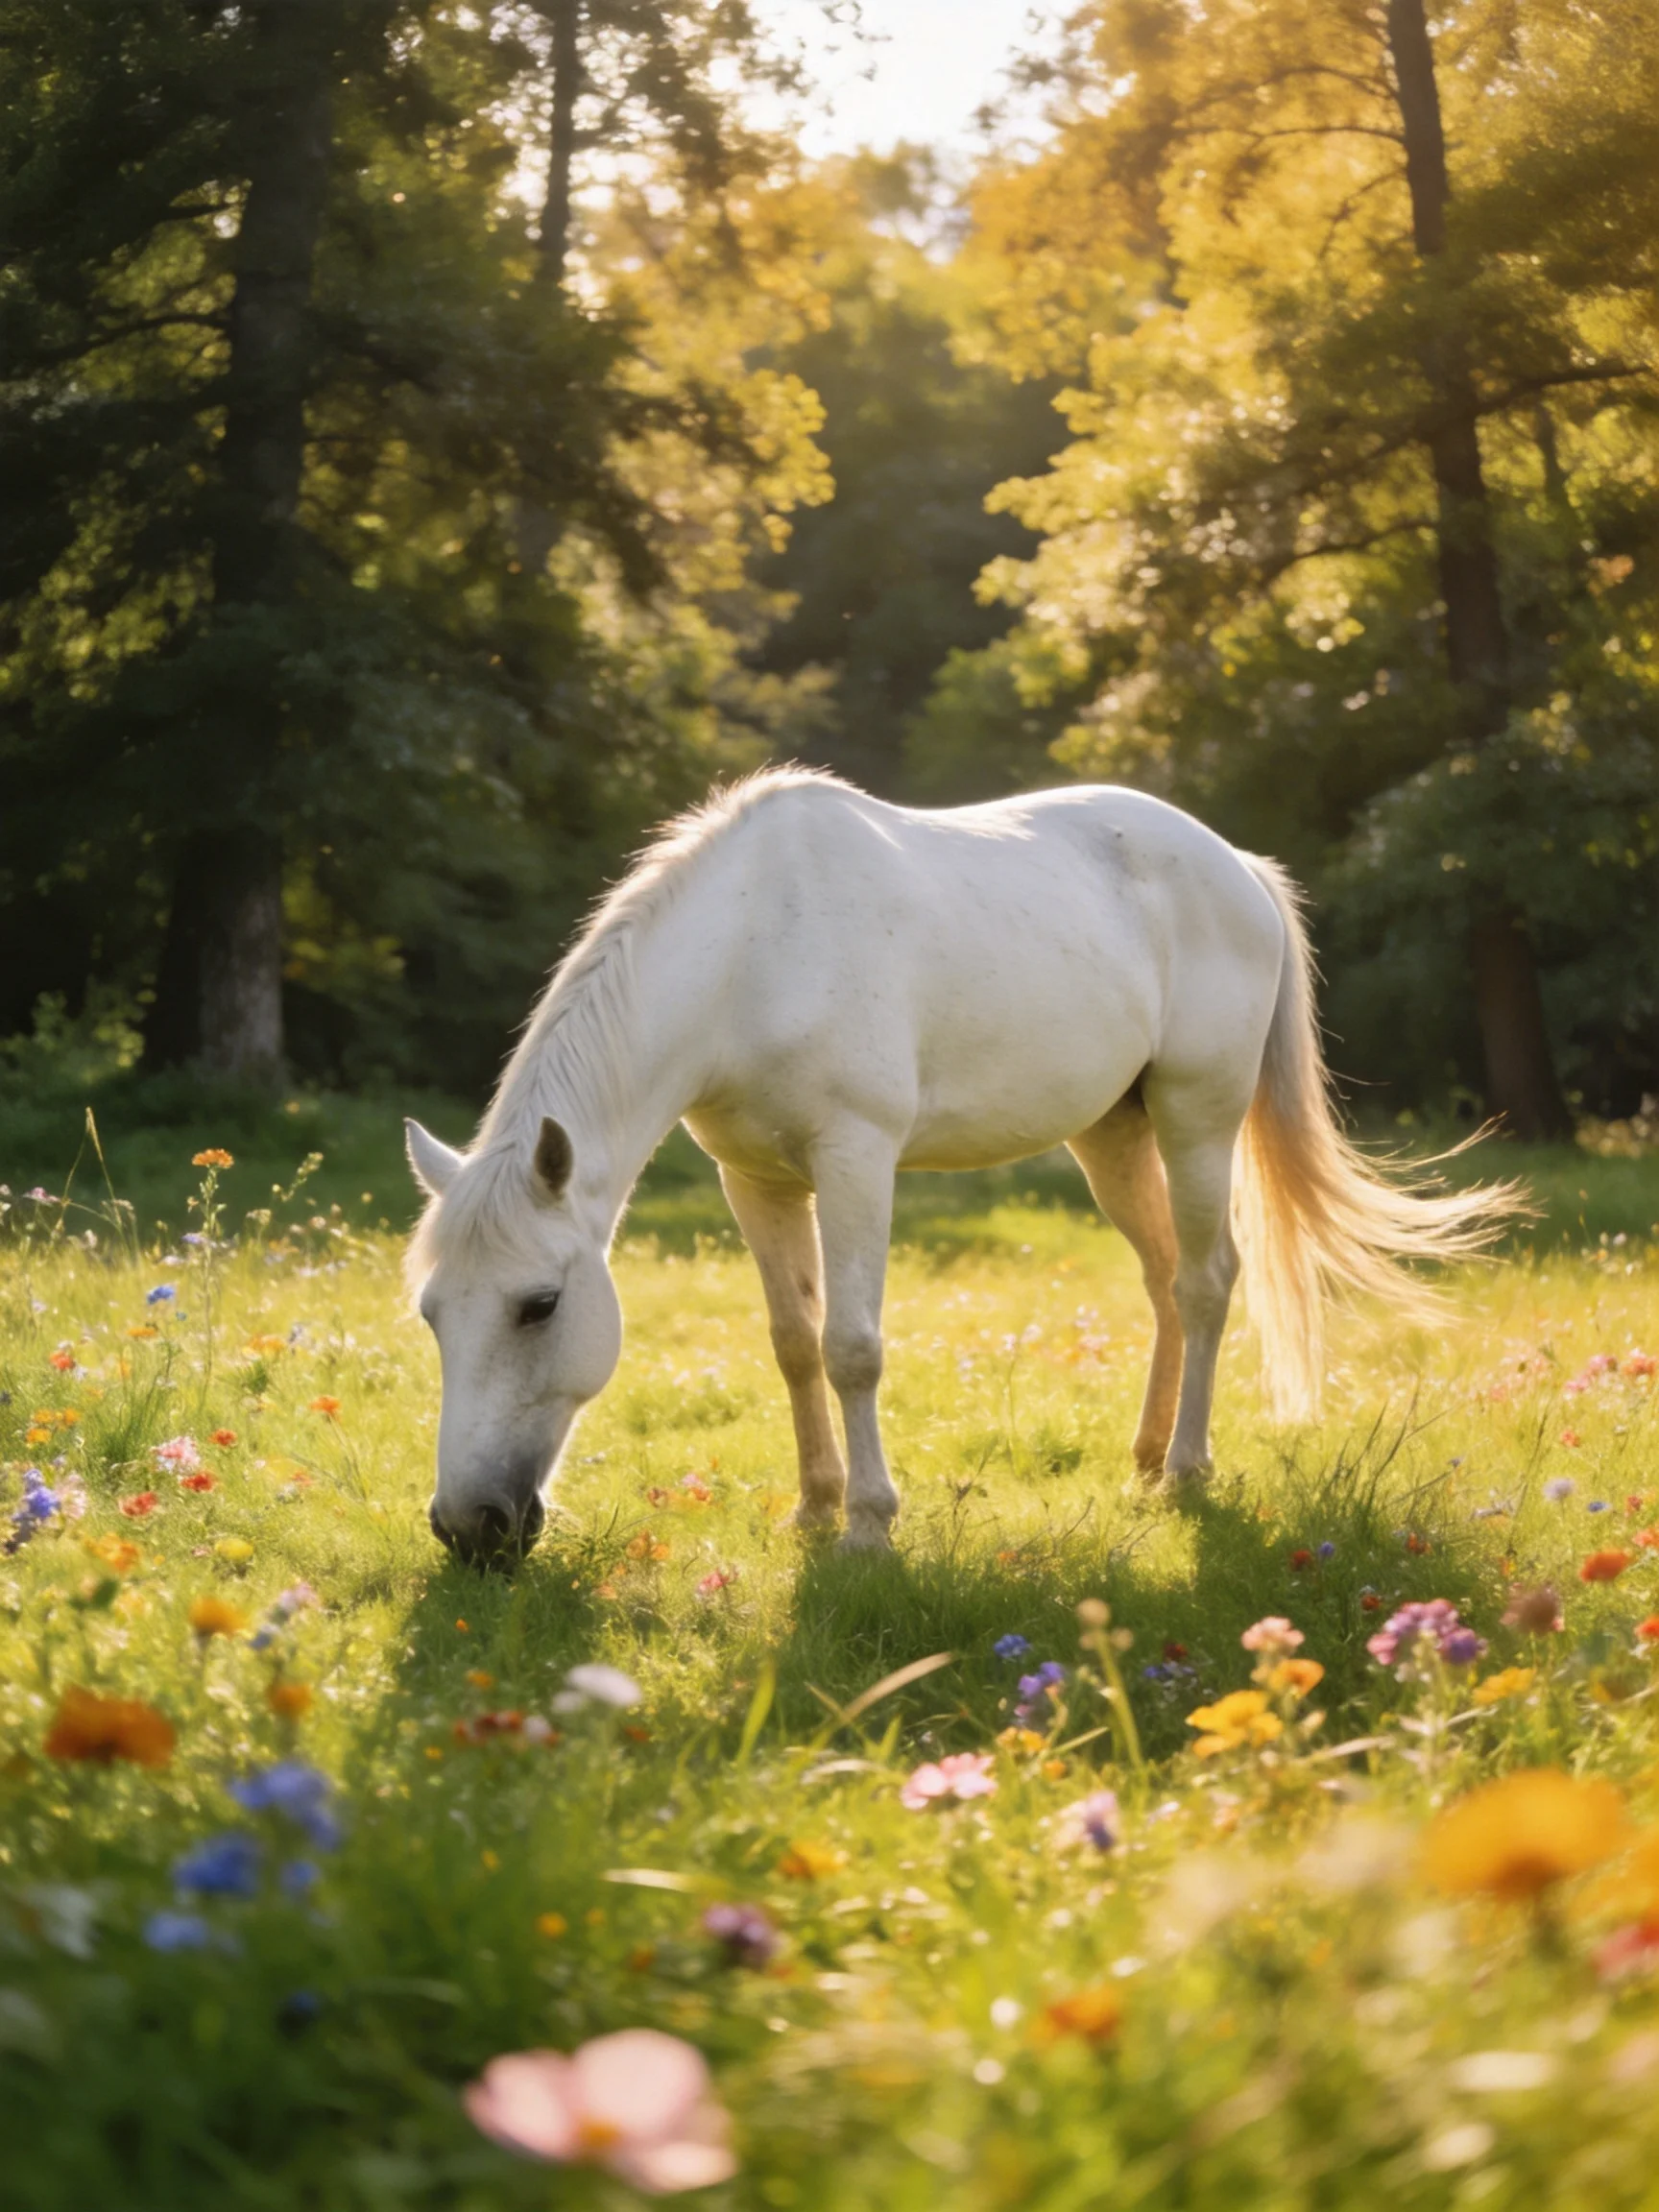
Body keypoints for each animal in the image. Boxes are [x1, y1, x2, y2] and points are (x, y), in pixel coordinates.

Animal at [404, 768, 1512, 1563]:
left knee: (1205, 1283)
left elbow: (852, 1347)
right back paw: (1145, 1458)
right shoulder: (755, 1181)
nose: (468, 1529)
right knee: (1163, 1277)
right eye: (431, 1314)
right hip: (1111, 1135)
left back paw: (1187, 1472)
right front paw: (812, 1510)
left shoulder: (856, 1161)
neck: (751, 952)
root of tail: (1235, 865)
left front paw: (868, 1526)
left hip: (1199, 1120)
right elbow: (793, 1342)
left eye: (540, 1305)